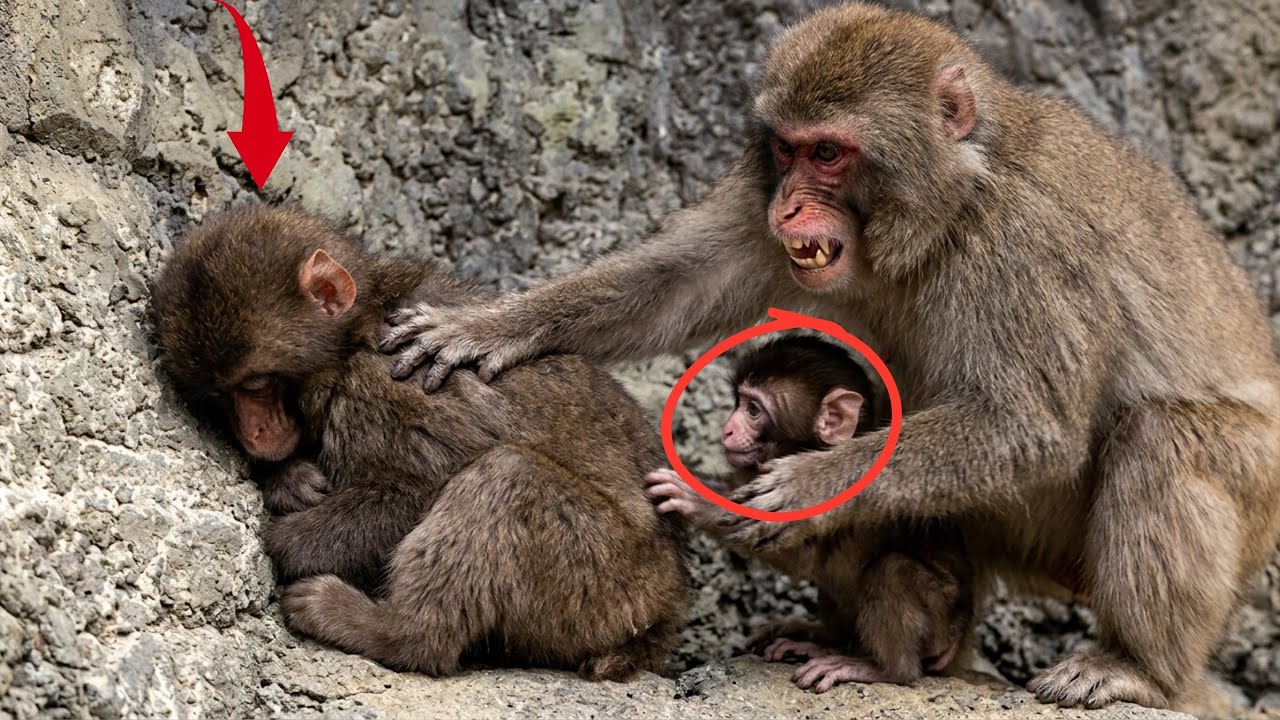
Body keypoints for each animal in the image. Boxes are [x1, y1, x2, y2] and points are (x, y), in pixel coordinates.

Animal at [148, 205, 690, 681]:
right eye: (219, 395)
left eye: (256, 384)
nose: (254, 434)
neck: (360, 328)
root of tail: (664, 610)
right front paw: (289, 480)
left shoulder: (387, 383)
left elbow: (415, 489)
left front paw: (284, 540)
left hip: (605, 590)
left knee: (507, 477)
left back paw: (392, 632)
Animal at [645, 335, 974, 692]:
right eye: (739, 402)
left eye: (753, 410)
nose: (728, 430)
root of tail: (959, 631)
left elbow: (801, 558)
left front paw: (697, 501)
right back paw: (821, 638)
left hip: (939, 615)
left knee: (893, 569)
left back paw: (882, 668)